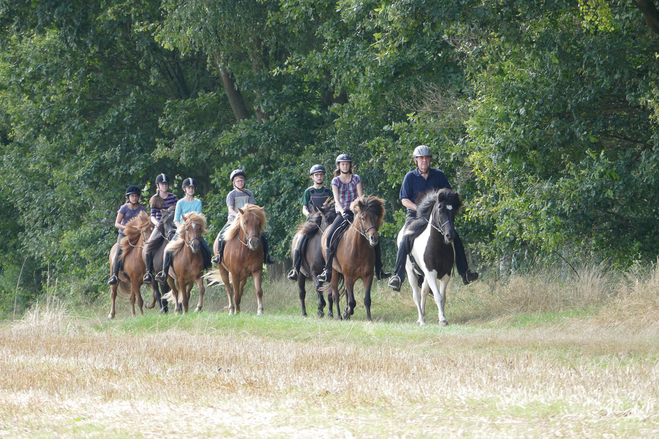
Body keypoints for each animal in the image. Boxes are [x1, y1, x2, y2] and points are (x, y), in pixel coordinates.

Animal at [398, 189, 464, 326]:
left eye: (453, 211)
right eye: (440, 209)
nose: (450, 235)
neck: (438, 247)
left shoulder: (445, 274)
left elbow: (442, 297)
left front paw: (442, 317)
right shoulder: (431, 273)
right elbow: (438, 296)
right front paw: (442, 320)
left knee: (423, 291)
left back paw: (422, 316)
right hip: (411, 273)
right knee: (416, 296)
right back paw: (421, 320)